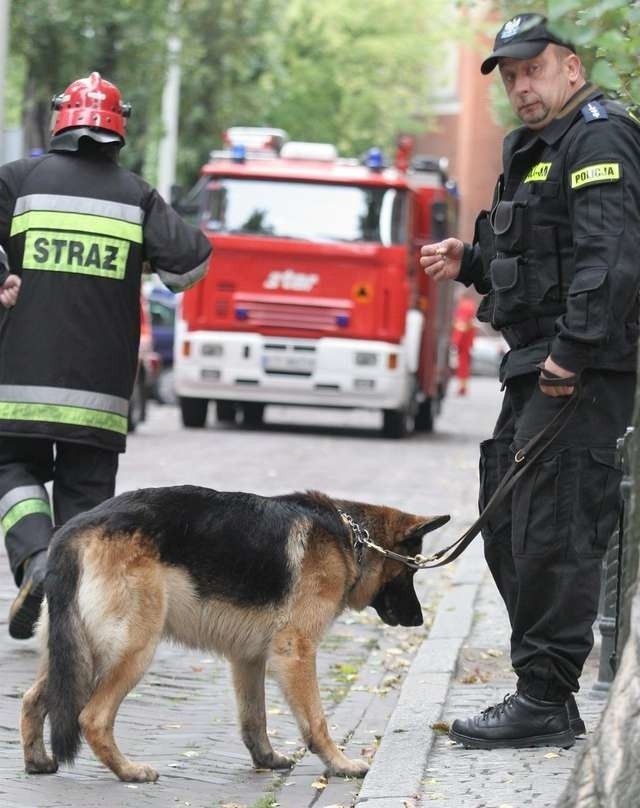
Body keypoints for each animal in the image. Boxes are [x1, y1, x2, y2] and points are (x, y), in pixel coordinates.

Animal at [21, 486, 450, 784]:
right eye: (411, 572)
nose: (418, 620)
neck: (351, 537)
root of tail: (72, 531)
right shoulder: (296, 652)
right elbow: (316, 721)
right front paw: (340, 763)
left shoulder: (249, 659)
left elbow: (254, 718)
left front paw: (267, 759)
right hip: (132, 650)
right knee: (92, 717)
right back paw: (129, 772)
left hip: (79, 654)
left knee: (34, 698)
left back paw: (37, 761)